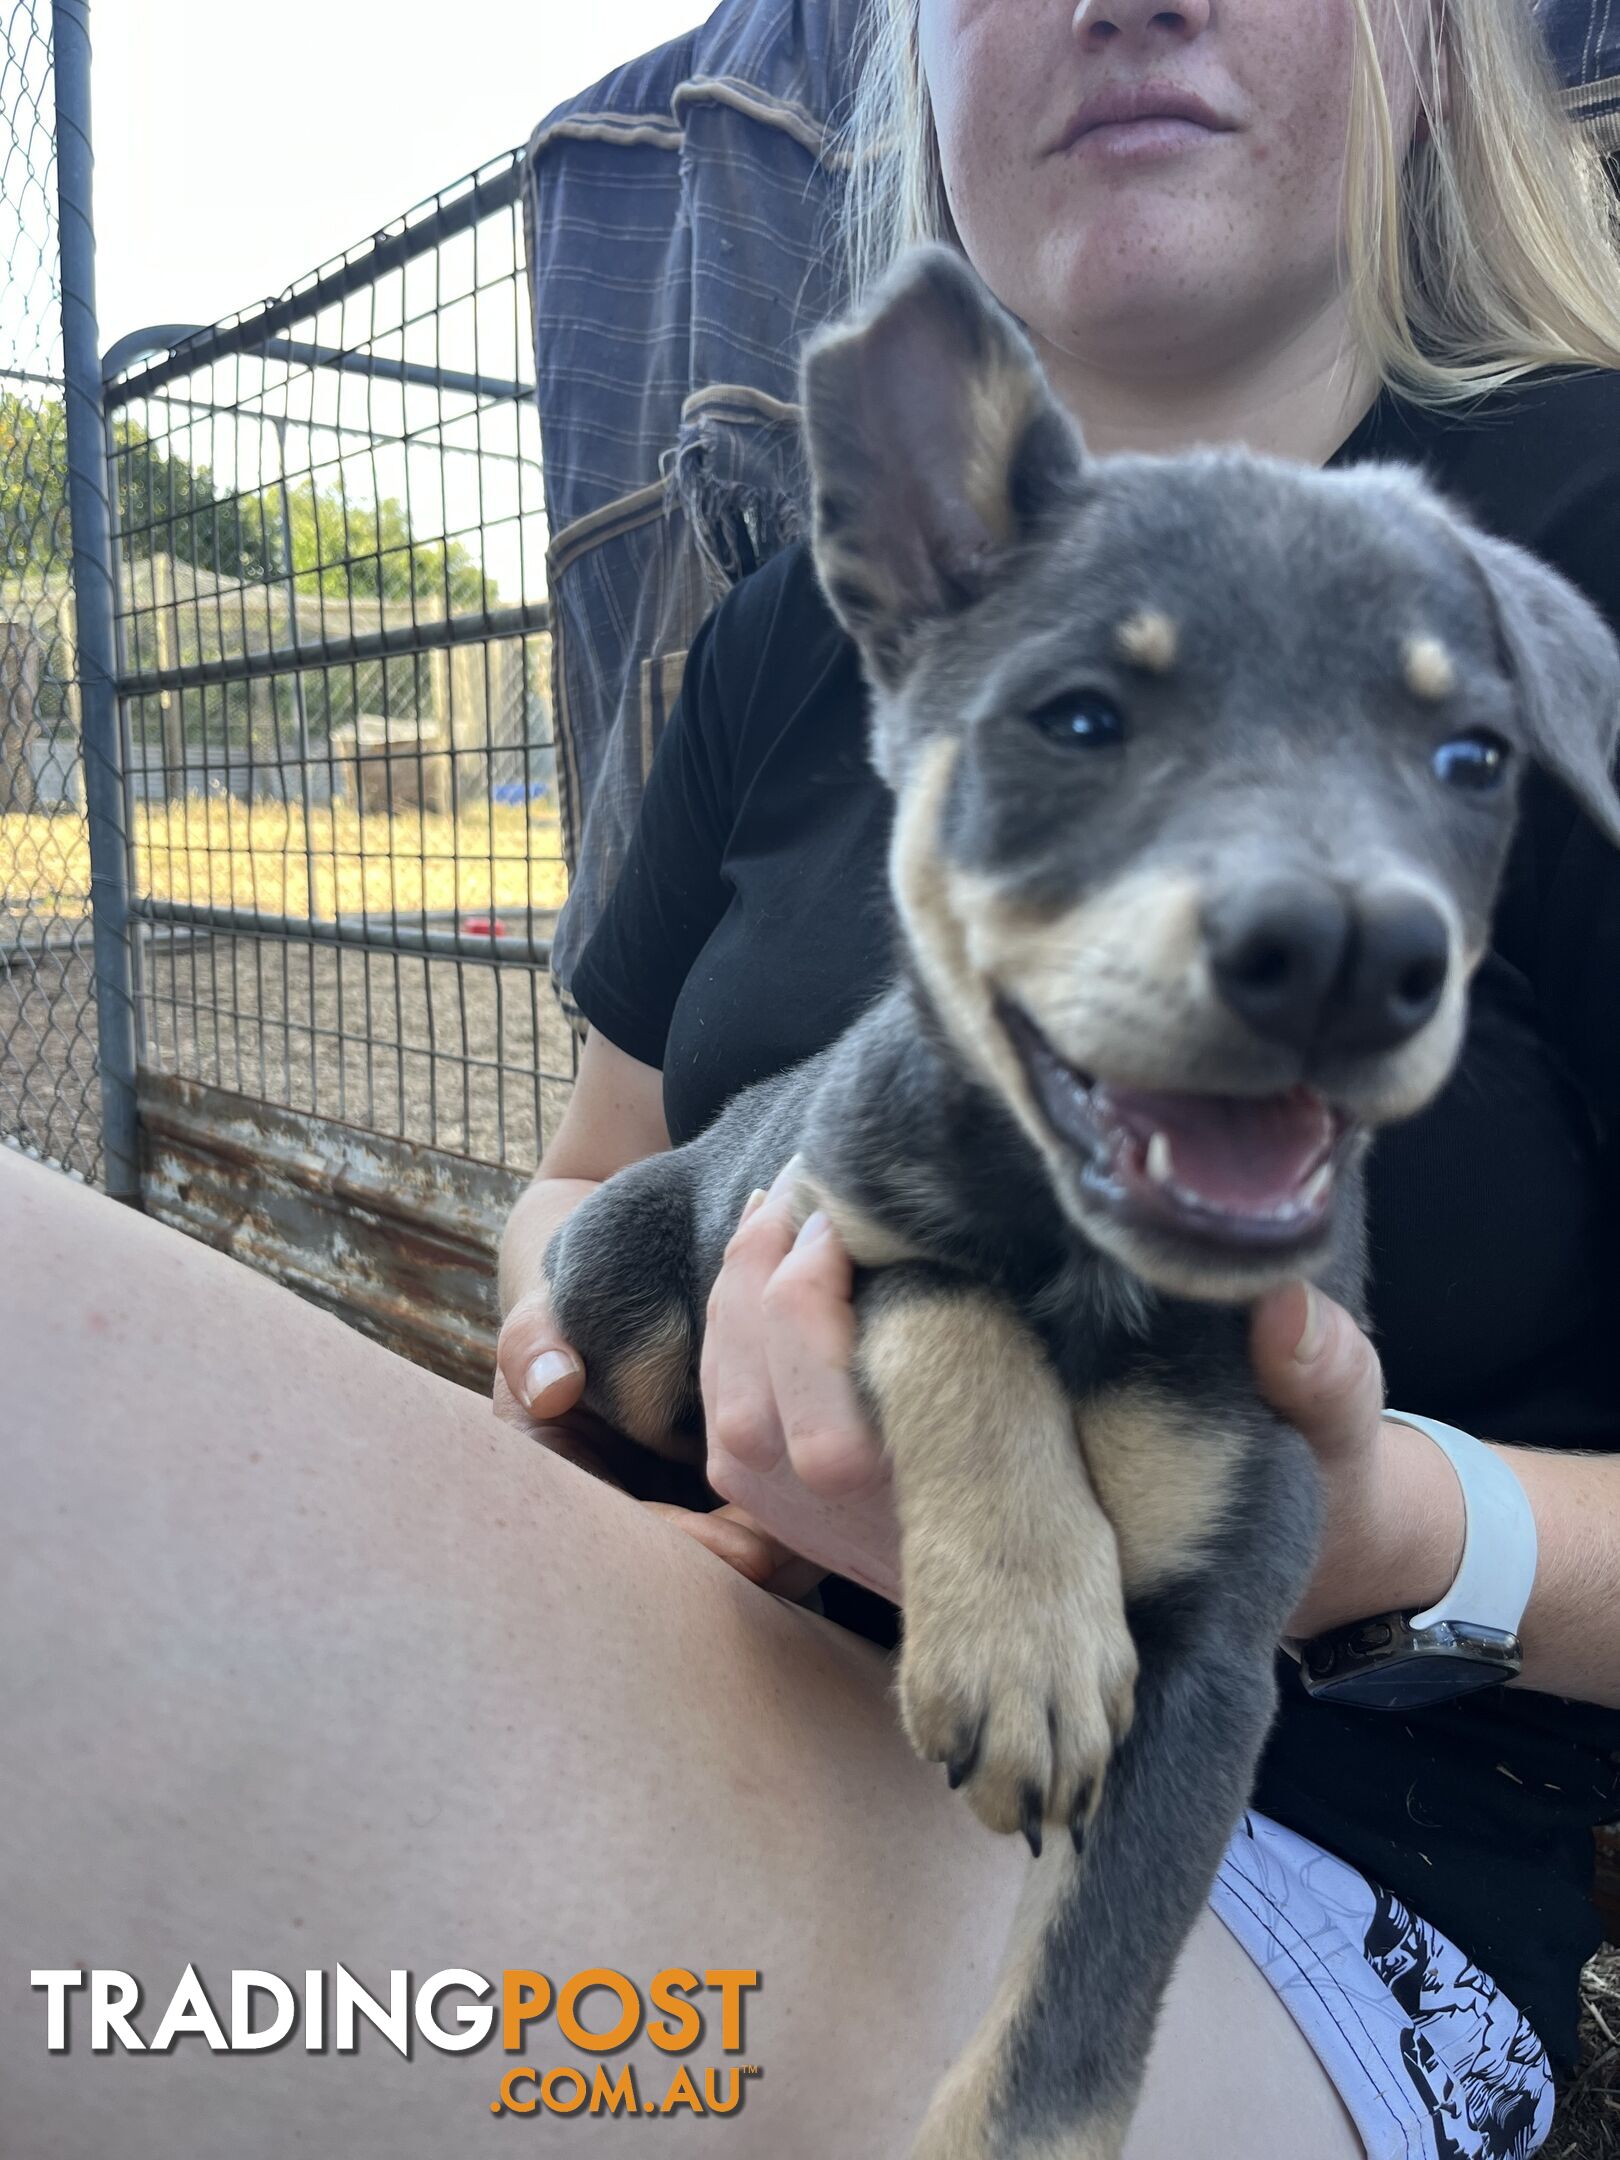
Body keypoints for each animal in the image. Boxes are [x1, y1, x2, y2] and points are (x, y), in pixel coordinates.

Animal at [548, 245, 1620, 2151]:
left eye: (1473, 760)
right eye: (1081, 721)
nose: (1349, 957)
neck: (1100, 1277)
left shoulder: (1221, 1658)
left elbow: (1073, 2023)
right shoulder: (831, 1238)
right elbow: (954, 1314)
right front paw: (1026, 1633)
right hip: (628, 1295)